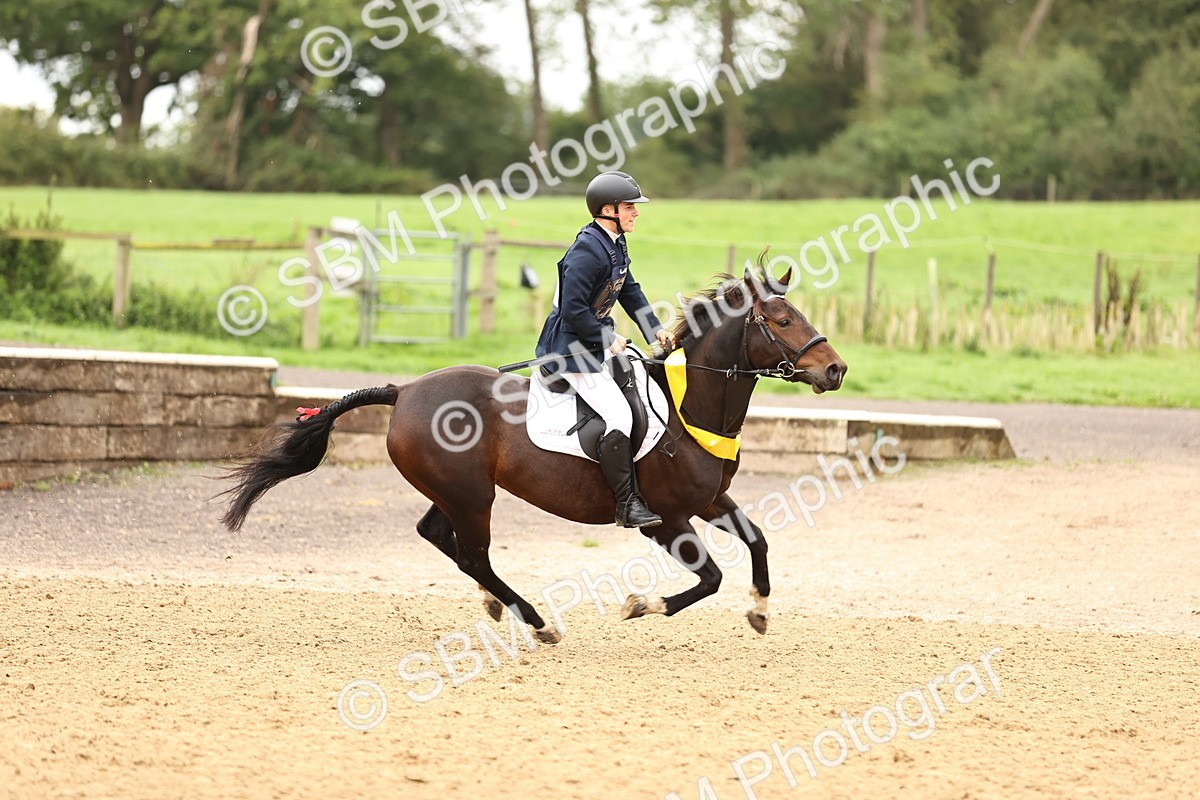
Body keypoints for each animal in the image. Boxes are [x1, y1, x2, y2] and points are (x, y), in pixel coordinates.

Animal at [219, 263, 847, 643]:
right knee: (472, 554)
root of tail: (406, 390)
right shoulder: (665, 519)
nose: (836, 369)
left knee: (440, 537)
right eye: (783, 320)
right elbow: (710, 577)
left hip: (456, 490)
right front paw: (640, 606)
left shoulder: (710, 500)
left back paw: (500, 605)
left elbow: (758, 541)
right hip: (473, 496)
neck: (690, 409)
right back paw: (537, 621)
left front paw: (759, 610)